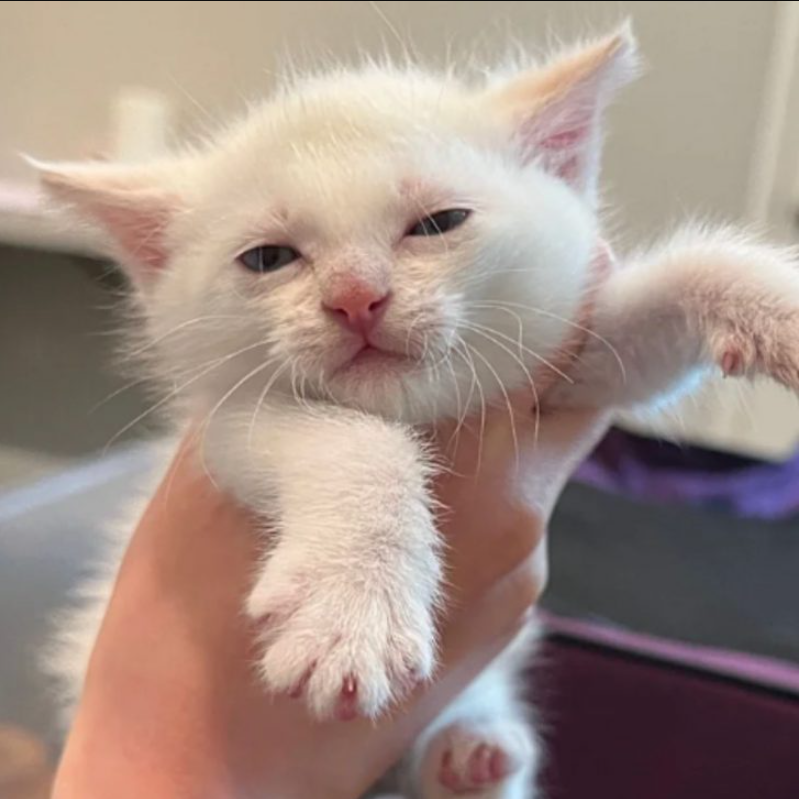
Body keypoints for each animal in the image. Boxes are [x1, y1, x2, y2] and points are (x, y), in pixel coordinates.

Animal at [40, 25, 799, 799]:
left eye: (438, 223)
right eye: (268, 258)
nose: (354, 297)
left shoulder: (569, 366)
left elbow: (653, 316)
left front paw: (769, 303)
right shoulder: (225, 422)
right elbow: (351, 439)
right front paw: (351, 609)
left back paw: (470, 754)